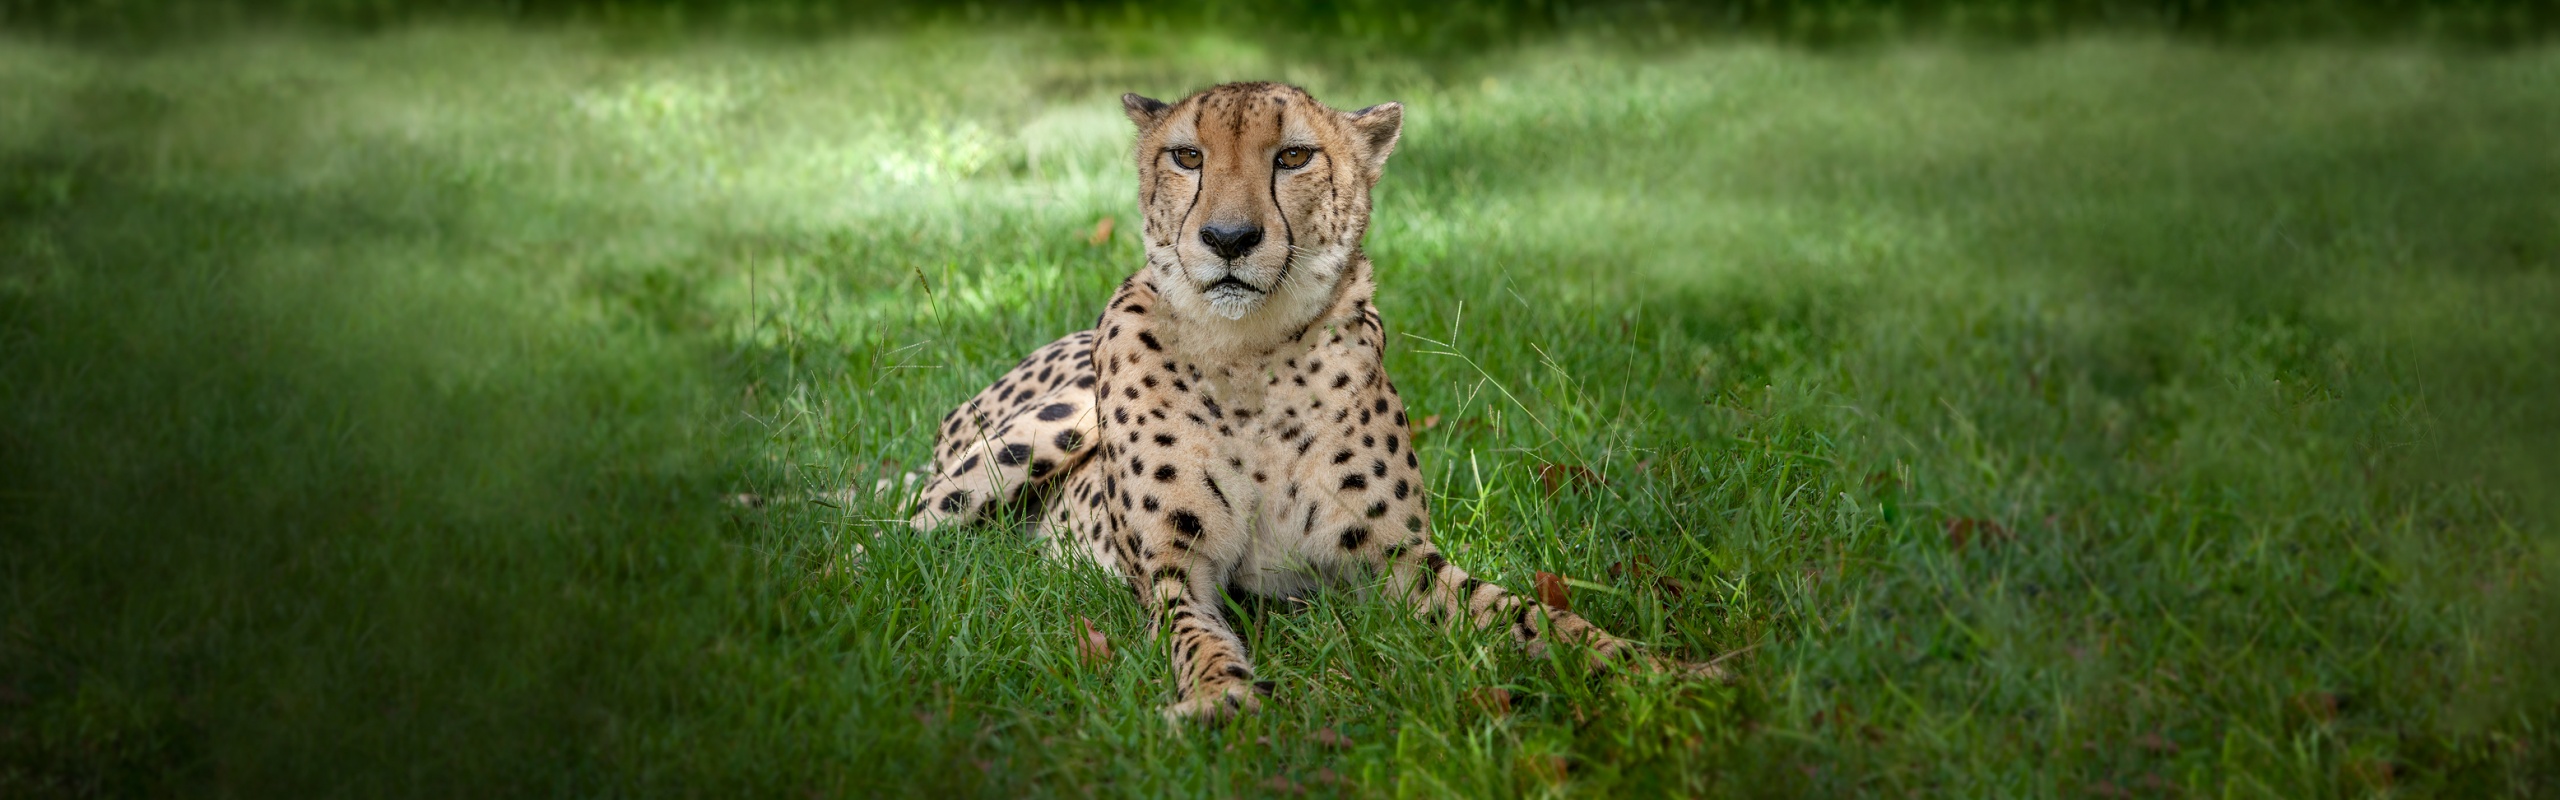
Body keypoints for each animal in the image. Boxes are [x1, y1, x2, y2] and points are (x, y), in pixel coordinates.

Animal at [905, 82, 1723, 723]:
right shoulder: (1175, 566)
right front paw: (1218, 696)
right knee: (894, 534)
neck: (1250, 356)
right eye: (1188, 157)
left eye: (1294, 157)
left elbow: (1539, 616)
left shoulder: (1401, 565)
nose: (1229, 237)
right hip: (1026, 444)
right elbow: (1194, 636)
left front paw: (1661, 672)